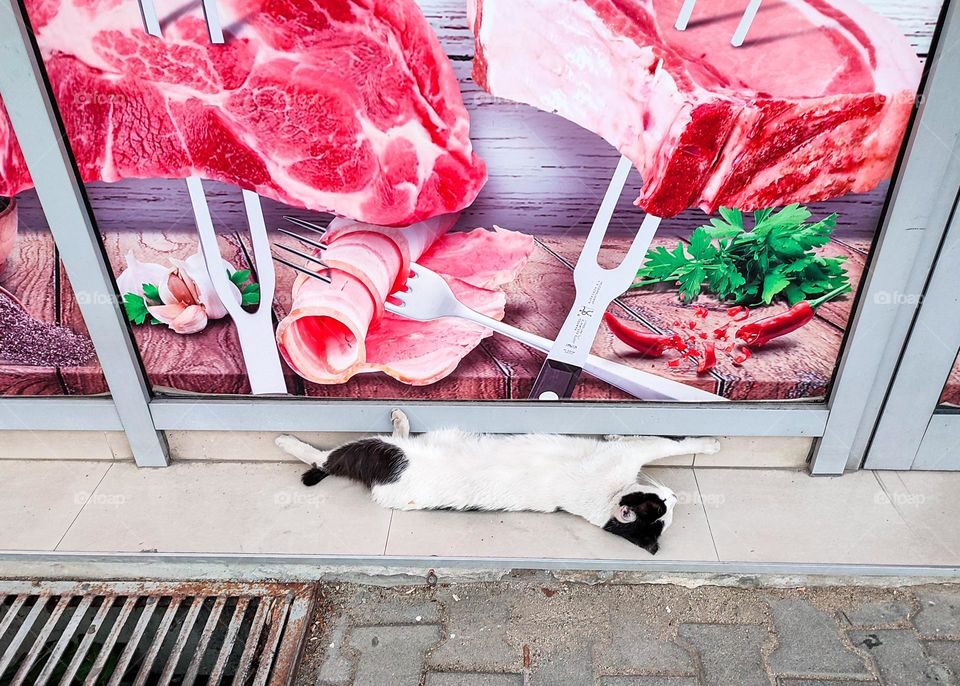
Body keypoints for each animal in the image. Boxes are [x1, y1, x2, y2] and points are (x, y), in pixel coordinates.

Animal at [274, 412, 716, 556]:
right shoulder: (630, 453)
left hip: (385, 456)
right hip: (384, 453)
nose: (675, 494)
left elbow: (657, 442)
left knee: (331, 459)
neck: (604, 507)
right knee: (324, 458)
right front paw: (710, 442)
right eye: (661, 505)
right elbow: (668, 444)